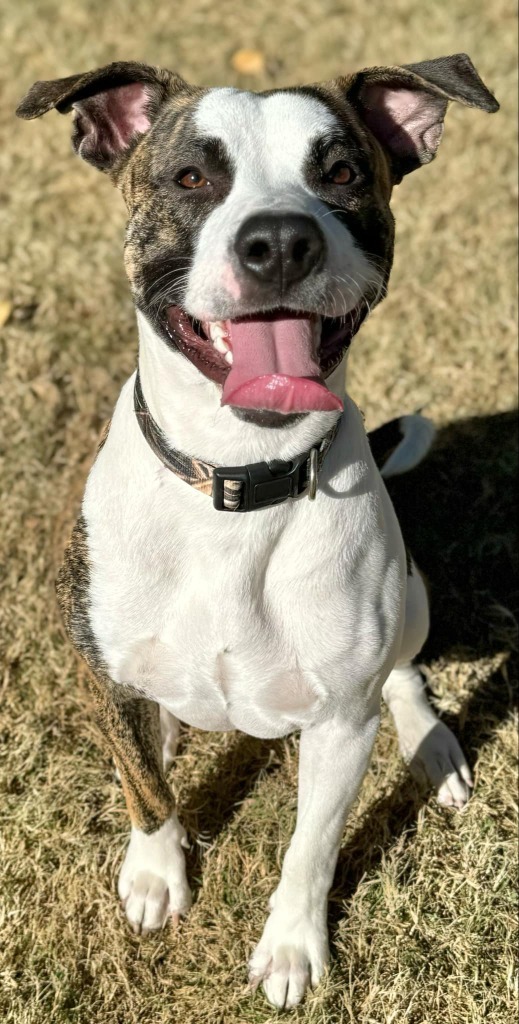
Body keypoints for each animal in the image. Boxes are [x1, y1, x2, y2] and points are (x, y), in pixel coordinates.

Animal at [18, 56, 499, 1007]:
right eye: (190, 179)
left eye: (341, 172)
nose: (278, 242)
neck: (239, 476)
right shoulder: (103, 677)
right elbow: (147, 791)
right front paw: (157, 874)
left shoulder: (340, 725)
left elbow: (310, 850)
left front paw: (290, 950)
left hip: (412, 598)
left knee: (404, 674)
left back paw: (430, 746)